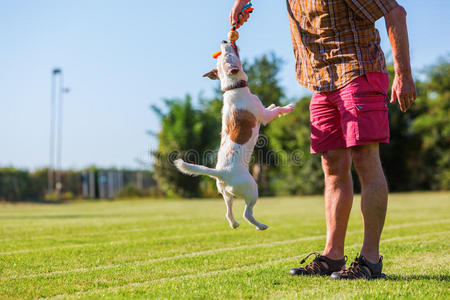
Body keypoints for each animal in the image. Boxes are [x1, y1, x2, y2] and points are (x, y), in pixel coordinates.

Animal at [173, 40, 296, 230]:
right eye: (228, 54)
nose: (224, 41)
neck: (232, 88)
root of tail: (221, 172)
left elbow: (270, 107)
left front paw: (273, 104)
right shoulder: (264, 116)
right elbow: (274, 111)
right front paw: (286, 108)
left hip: (226, 195)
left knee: (228, 212)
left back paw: (234, 224)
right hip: (252, 190)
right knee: (247, 213)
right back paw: (260, 226)